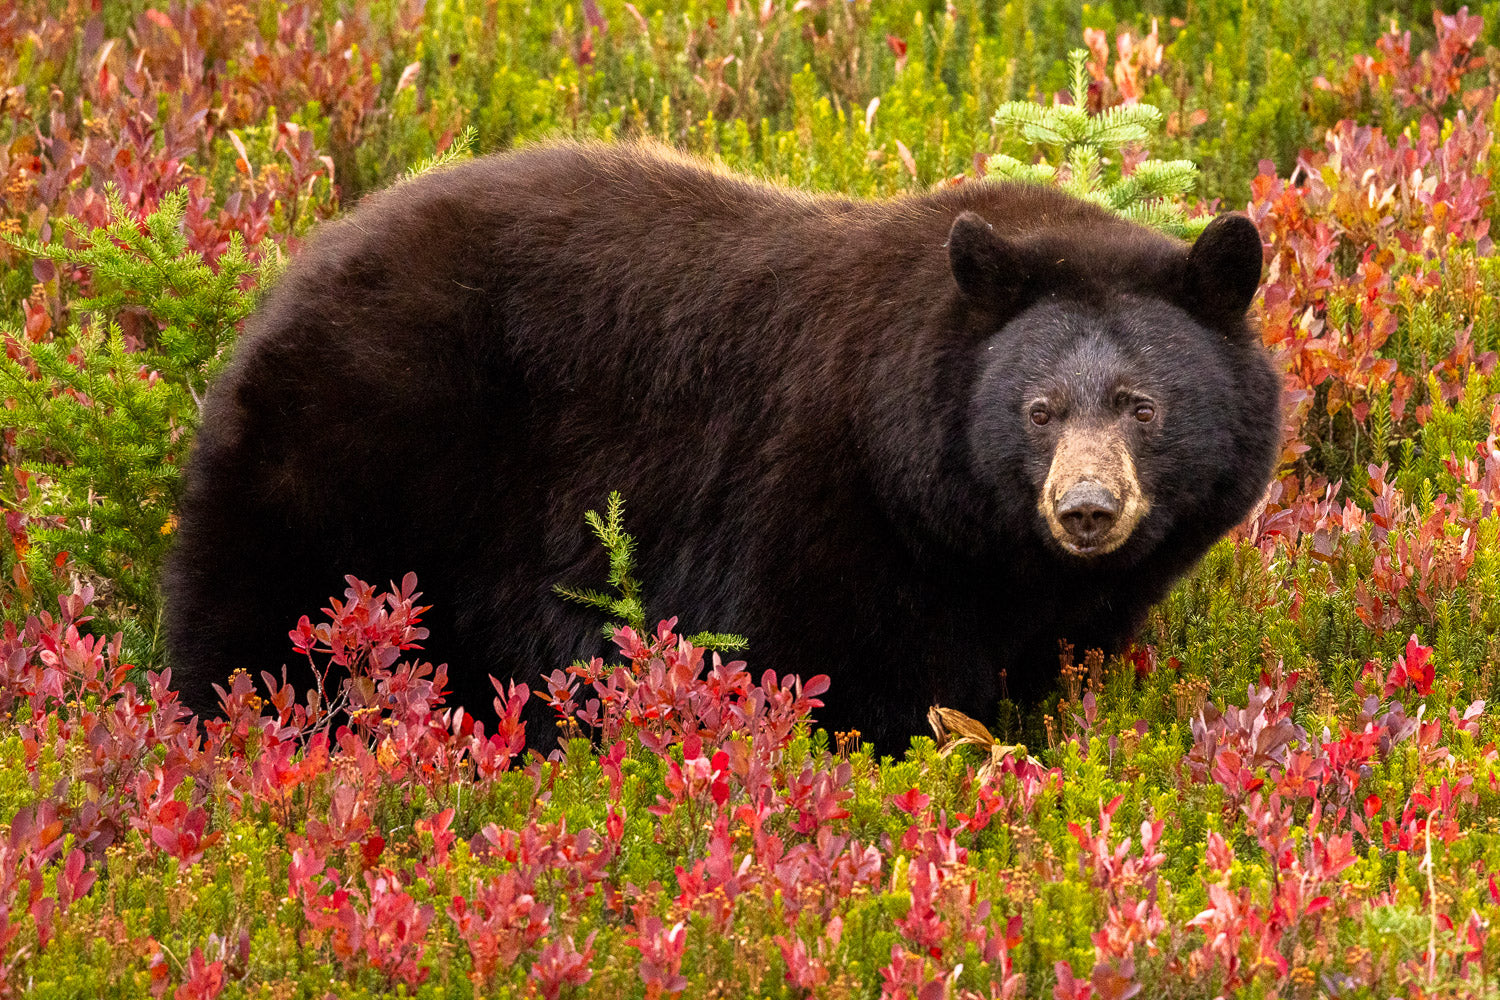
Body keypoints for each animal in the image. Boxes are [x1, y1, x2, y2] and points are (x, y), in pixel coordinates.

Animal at [164, 141, 1281, 750]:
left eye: (1142, 405)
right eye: (1040, 408)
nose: (1087, 509)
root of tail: (299, 270)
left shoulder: (1039, 601)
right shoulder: (811, 501)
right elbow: (825, 672)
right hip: (356, 461)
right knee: (264, 625)